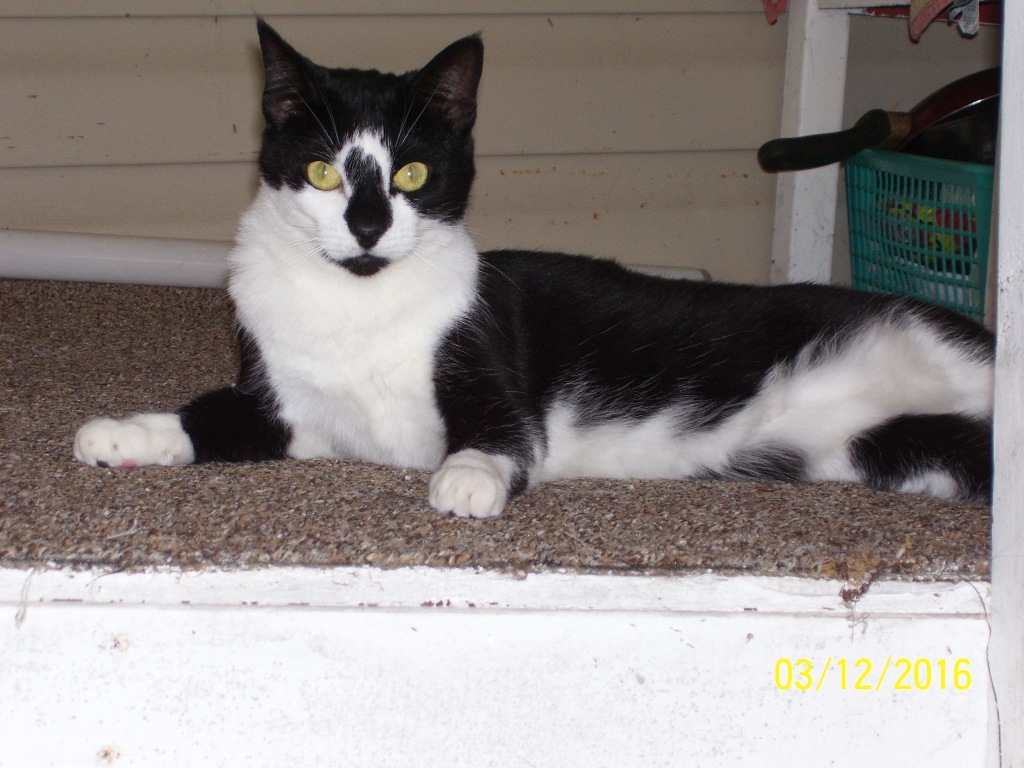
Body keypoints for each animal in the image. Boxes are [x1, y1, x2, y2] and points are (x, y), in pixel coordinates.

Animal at [75, 20, 995, 518]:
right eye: (325, 172)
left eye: (413, 172)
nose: (369, 227)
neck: (356, 307)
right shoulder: (291, 411)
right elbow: (210, 416)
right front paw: (121, 433)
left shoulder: (490, 367)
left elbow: (502, 433)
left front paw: (468, 478)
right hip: (903, 446)